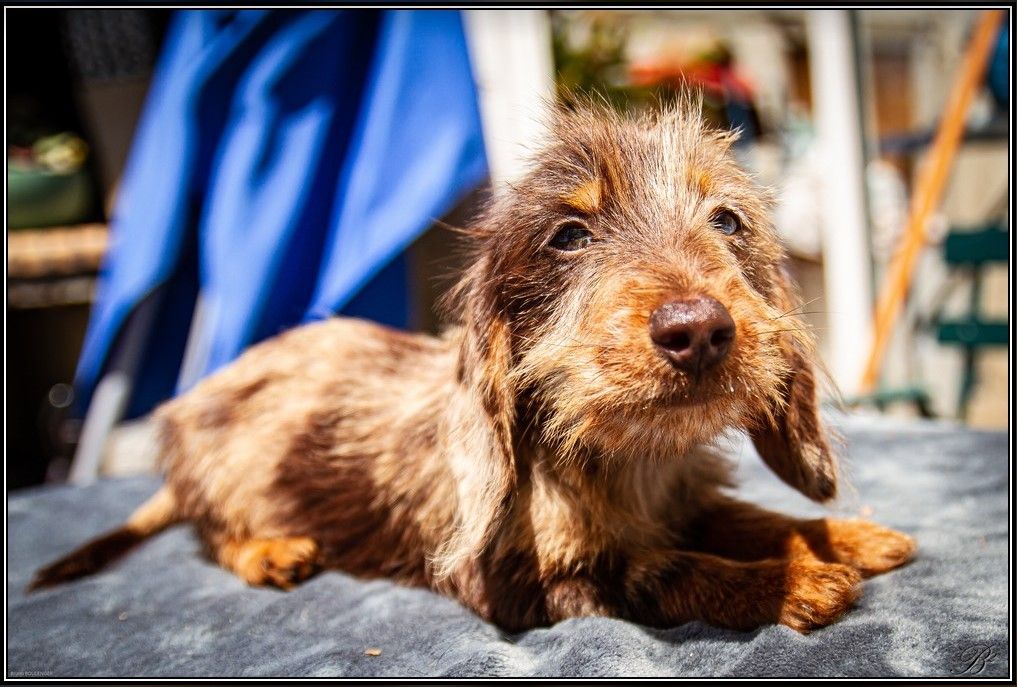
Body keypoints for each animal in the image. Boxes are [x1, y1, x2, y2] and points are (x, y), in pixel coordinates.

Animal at [31, 102, 915, 634]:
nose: (697, 329)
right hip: (222, 473)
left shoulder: (684, 498)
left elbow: (745, 515)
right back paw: (268, 551)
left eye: (727, 220)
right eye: (568, 235)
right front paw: (788, 582)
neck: (621, 460)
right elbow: (662, 568)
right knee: (213, 535)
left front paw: (838, 535)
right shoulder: (520, 583)